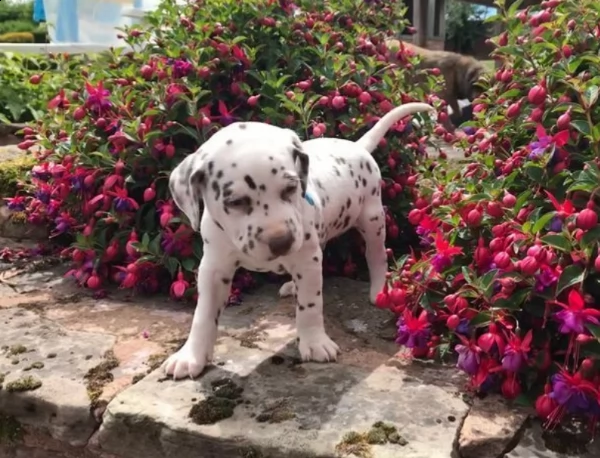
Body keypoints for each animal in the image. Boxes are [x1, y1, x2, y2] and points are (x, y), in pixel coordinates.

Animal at [164, 104, 436, 380]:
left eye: (290, 188)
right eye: (235, 202)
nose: (281, 241)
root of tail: (357, 146)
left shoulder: (306, 259)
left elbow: (310, 305)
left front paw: (314, 342)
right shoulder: (214, 267)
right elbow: (203, 315)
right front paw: (191, 356)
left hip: (372, 219)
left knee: (376, 255)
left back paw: (379, 288)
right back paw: (293, 285)